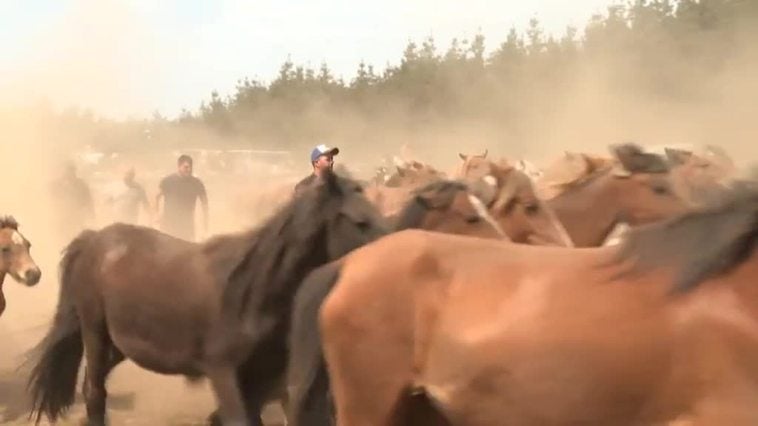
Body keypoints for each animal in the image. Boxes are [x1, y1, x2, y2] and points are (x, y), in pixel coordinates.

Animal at [23, 171, 392, 426]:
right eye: (361, 220)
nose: (392, 254)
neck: (251, 293)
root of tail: (94, 238)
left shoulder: (268, 382)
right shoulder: (223, 372)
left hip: (119, 345)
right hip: (95, 332)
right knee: (94, 392)